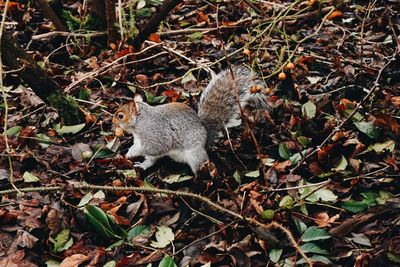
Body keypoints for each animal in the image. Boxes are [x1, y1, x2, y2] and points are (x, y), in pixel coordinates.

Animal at [112, 66, 268, 175]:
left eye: (120, 116)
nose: (112, 122)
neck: (140, 123)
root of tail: (206, 137)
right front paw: (128, 153)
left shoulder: (156, 134)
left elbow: (154, 147)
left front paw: (132, 152)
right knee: (152, 160)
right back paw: (143, 165)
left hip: (195, 155)